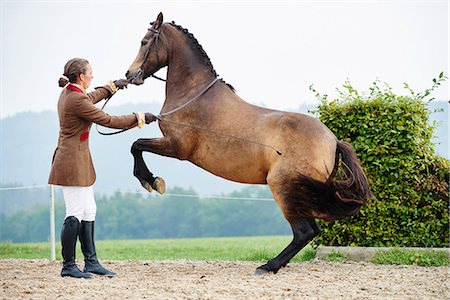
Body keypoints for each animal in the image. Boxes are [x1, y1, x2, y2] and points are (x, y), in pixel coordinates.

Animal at [125, 11, 370, 274]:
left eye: (144, 42)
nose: (130, 74)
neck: (193, 95)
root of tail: (333, 140)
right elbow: (137, 145)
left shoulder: (176, 147)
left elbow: (136, 145)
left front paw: (151, 181)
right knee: (309, 231)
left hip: (283, 188)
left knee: (304, 232)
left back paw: (268, 266)